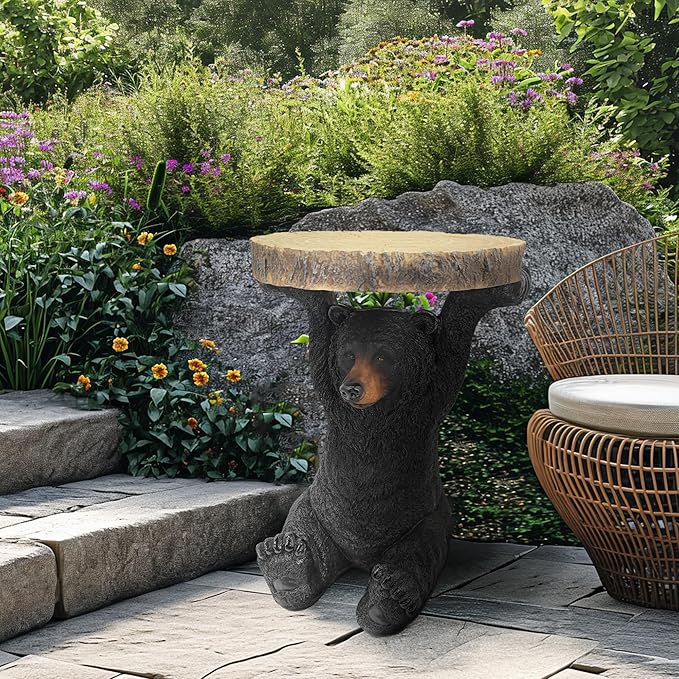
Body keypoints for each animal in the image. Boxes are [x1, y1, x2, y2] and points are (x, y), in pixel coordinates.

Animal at [256, 271, 529, 636]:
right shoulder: (332, 397)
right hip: (316, 507)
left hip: (428, 519)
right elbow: (319, 335)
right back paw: (285, 564)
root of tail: (359, 560)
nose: (352, 389)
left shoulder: (426, 403)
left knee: (416, 554)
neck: (375, 413)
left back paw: (387, 599)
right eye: (348, 355)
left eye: (383, 356)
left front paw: (503, 287)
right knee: (305, 532)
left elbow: (455, 346)